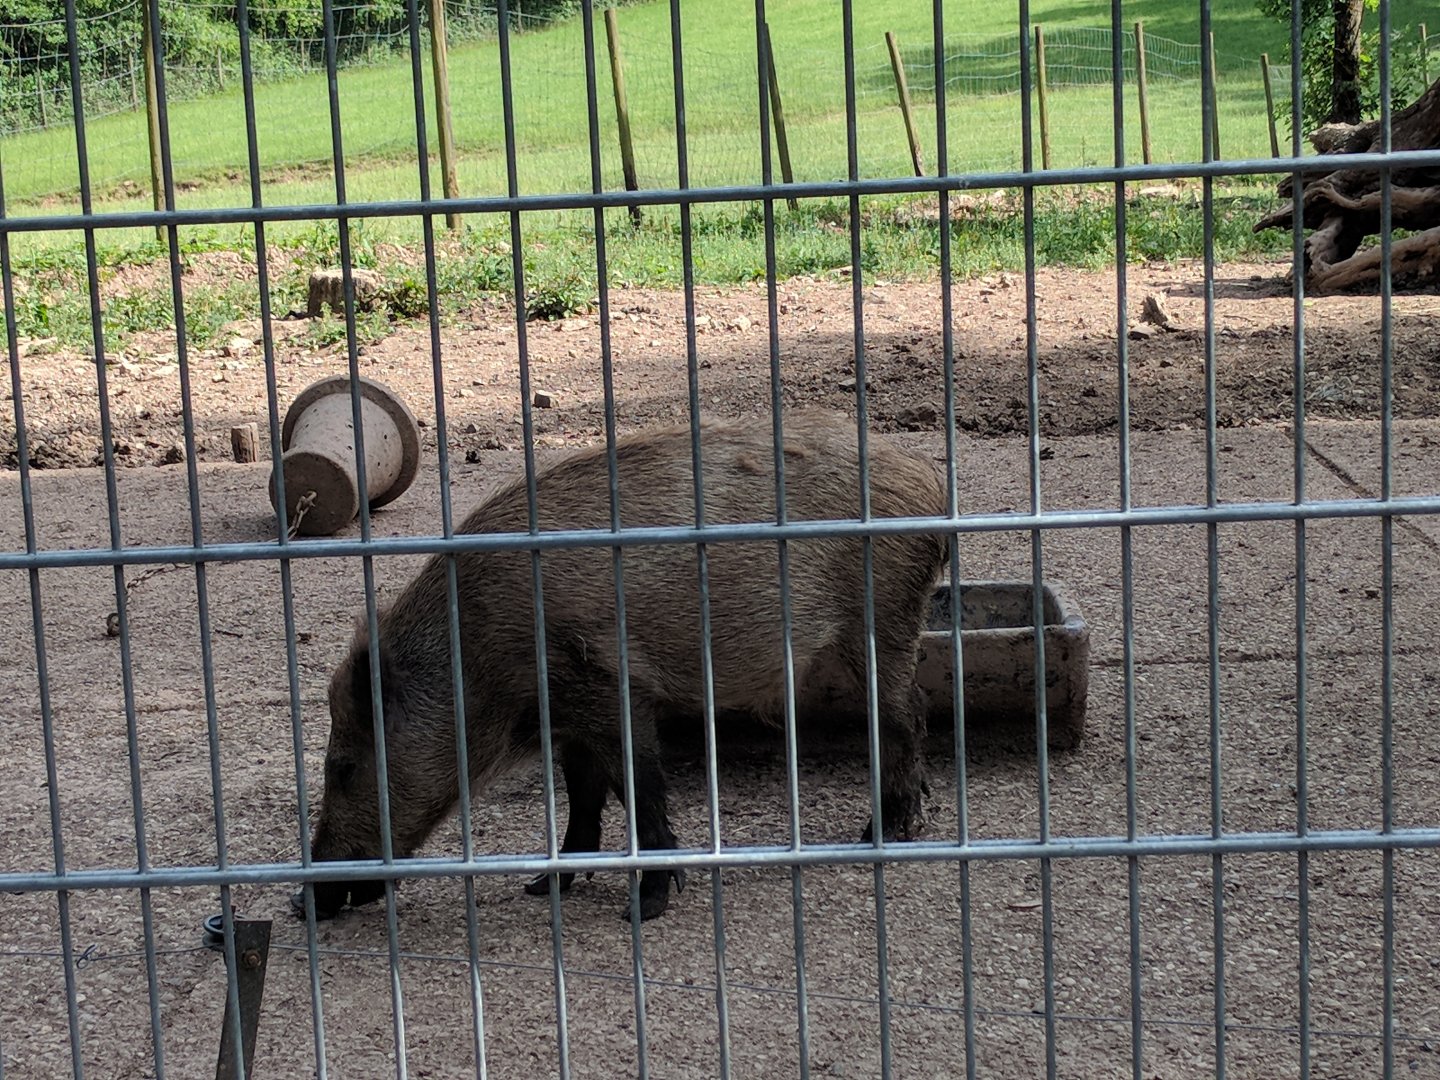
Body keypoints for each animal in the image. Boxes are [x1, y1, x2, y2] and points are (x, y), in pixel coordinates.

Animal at [297, 410, 948, 923]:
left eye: (343, 768)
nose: (305, 901)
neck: (476, 656)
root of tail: (929, 481)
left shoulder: (608, 686)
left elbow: (638, 786)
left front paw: (645, 908)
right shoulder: (569, 715)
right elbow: (584, 794)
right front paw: (543, 886)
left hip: (882, 616)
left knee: (905, 716)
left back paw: (883, 834)